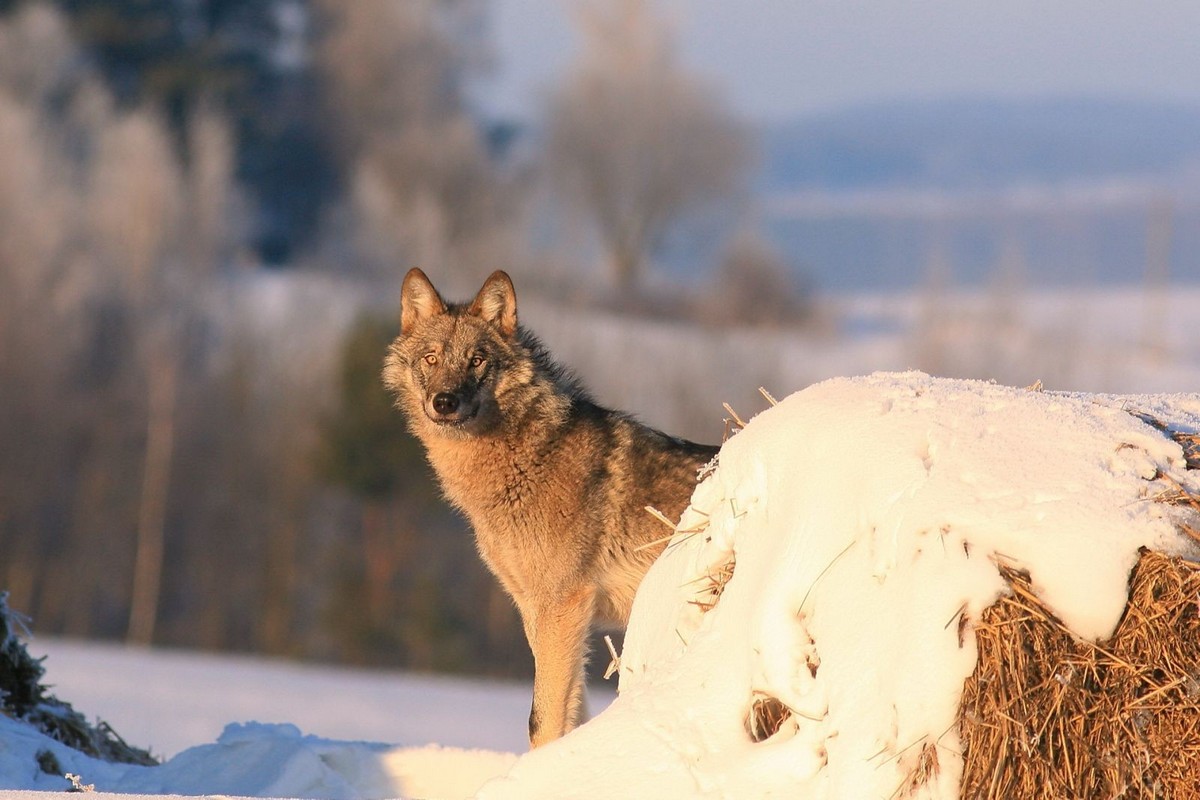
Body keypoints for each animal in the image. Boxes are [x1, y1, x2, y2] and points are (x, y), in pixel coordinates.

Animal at [383, 268, 720, 748]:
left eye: (477, 360)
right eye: (431, 359)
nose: (444, 401)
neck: (527, 460)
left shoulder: (563, 605)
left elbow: (541, 718)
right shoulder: (536, 610)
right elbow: (569, 713)